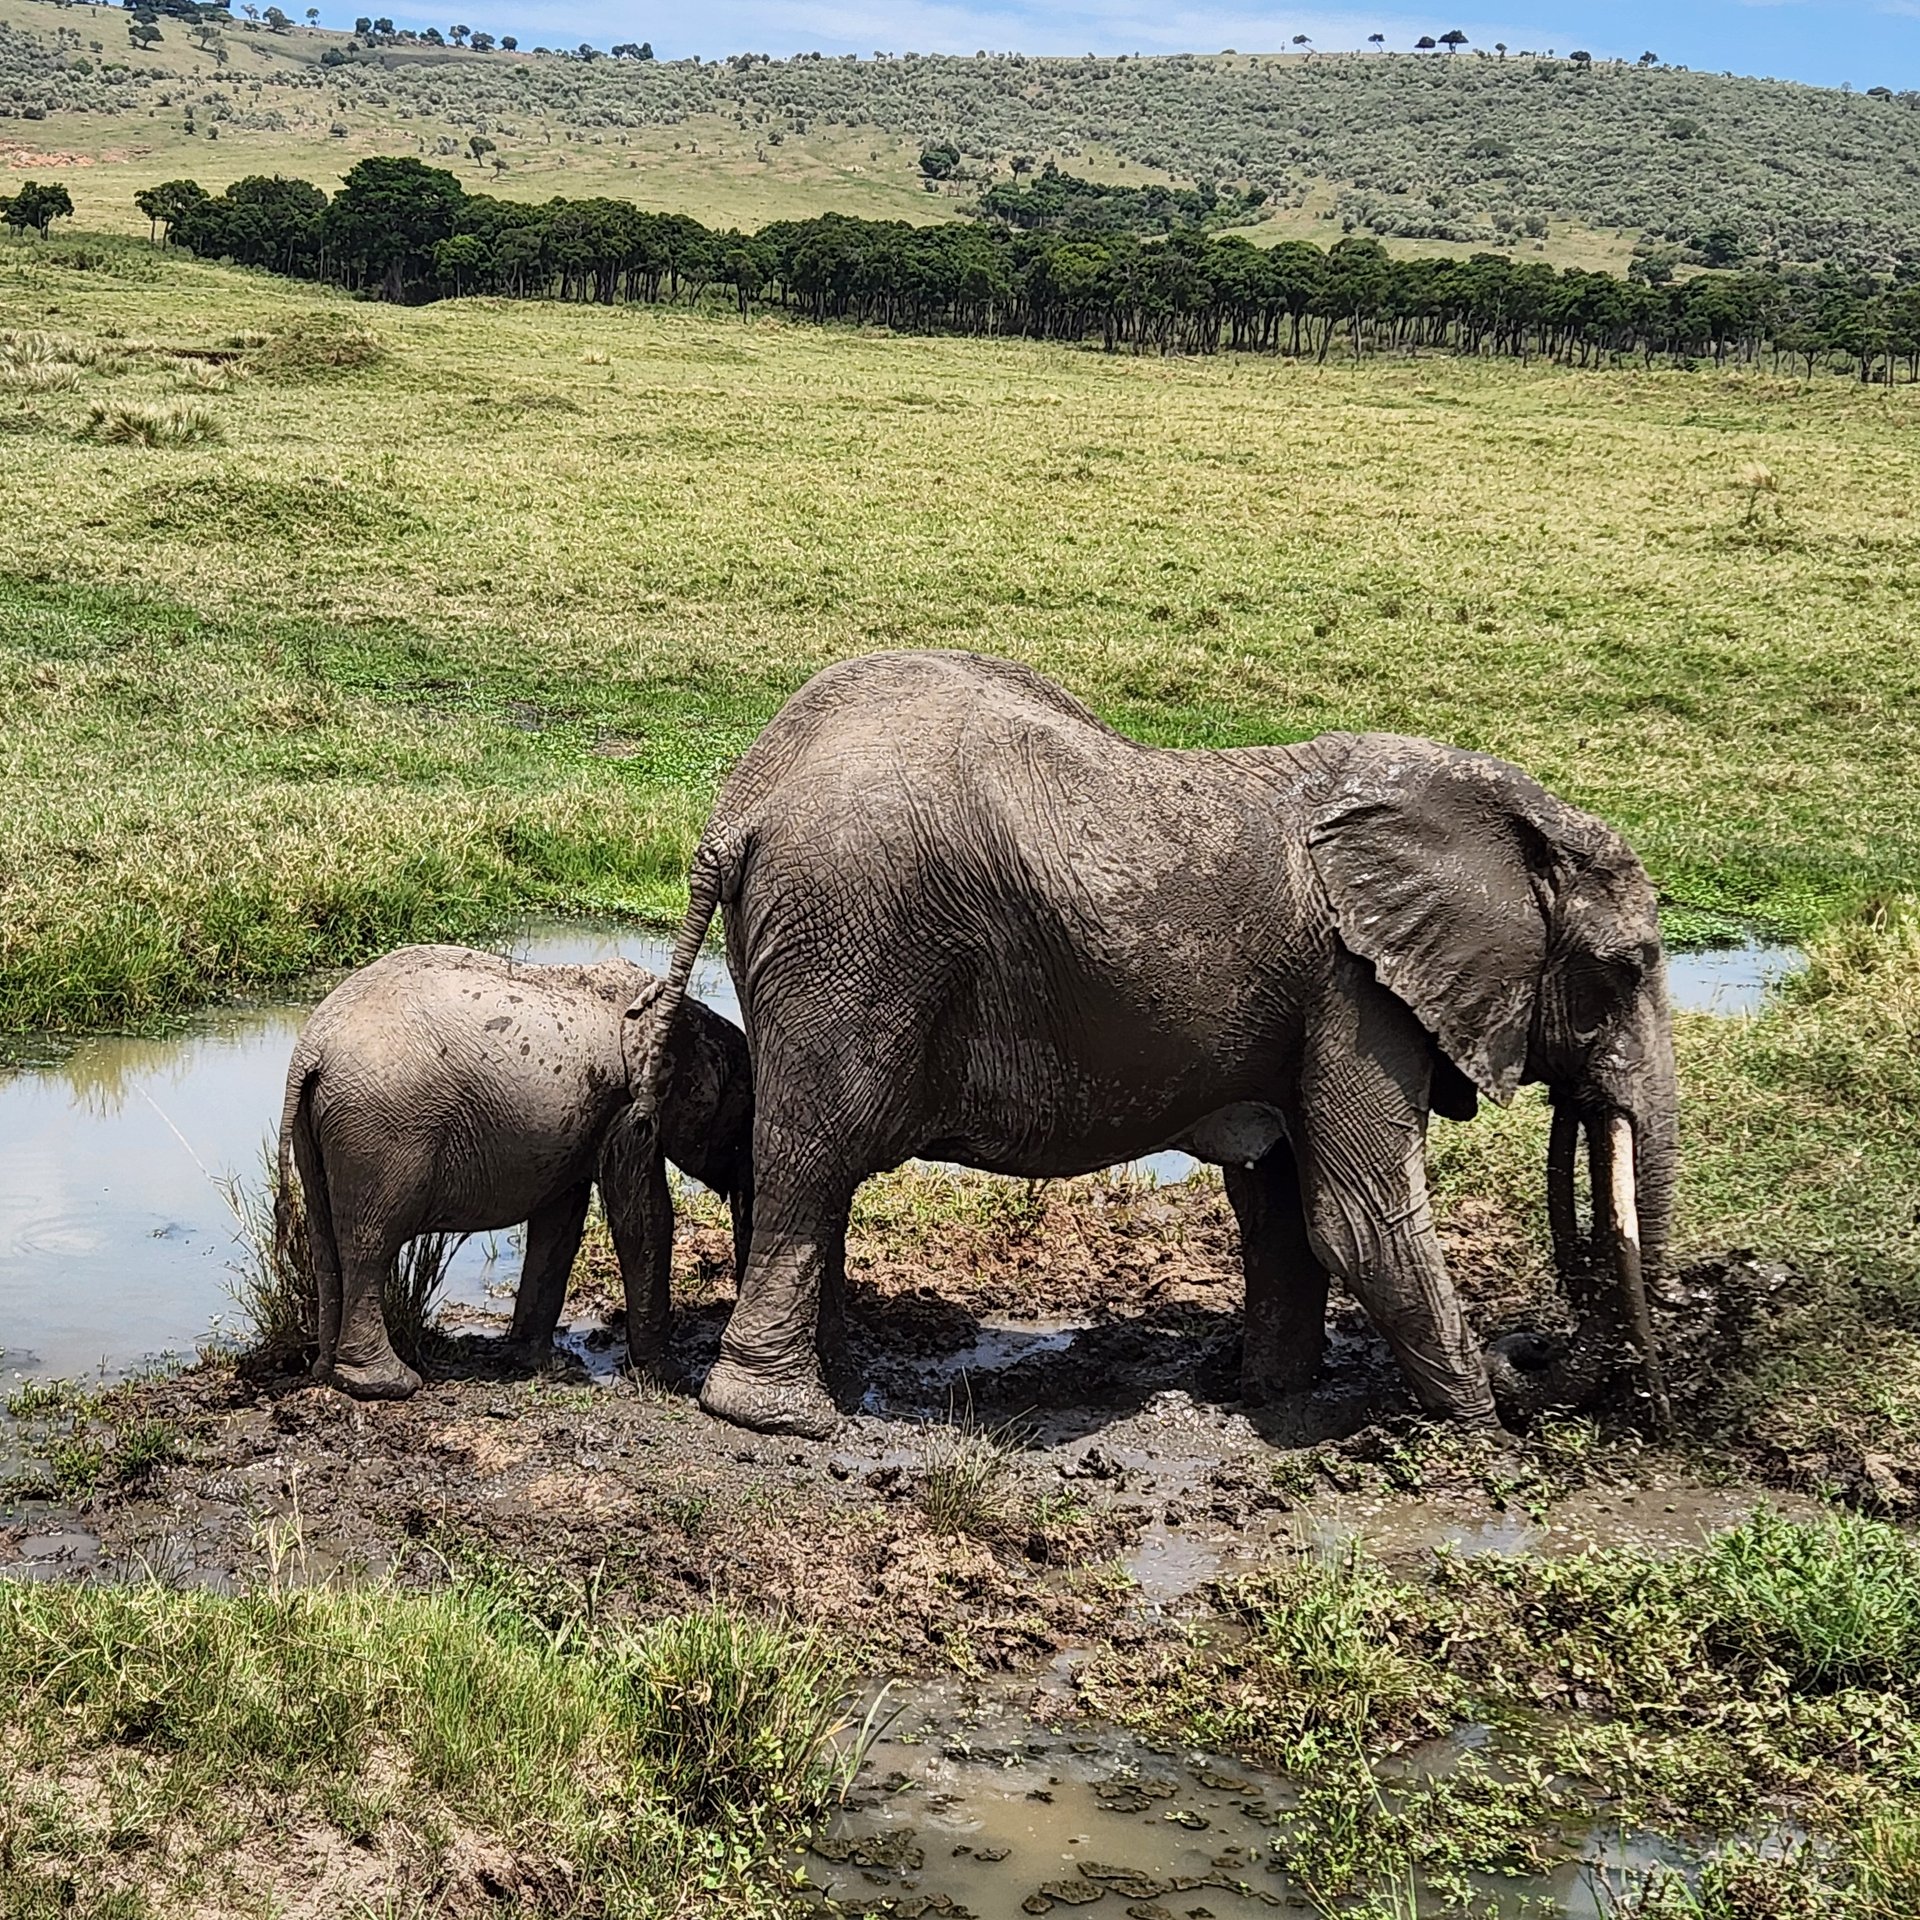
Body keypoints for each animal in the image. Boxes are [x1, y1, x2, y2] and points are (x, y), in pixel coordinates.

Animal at [272, 940, 748, 1397]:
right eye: (741, 1117)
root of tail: (312, 1050)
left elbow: (561, 1222)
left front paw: (539, 1364)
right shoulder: (629, 1106)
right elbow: (645, 1219)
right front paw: (672, 1378)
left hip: (323, 1123)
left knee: (325, 1238)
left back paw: (327, 1372)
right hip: (380, 1129)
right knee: (370, 1247)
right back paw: (387, 1385)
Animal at [637, 652, 1674, 1436]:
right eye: (1624, 969)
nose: (1528, 1355)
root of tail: (741, 804)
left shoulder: (1310, 998)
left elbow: (1282, 1200)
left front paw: (1276, 1397)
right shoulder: (1355, 988)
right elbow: (1359, 1215)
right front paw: (1482, 1439)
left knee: (819, 1170)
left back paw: (844, 1390)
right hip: (857, 939)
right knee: (815, 1159)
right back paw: (788, 1419)